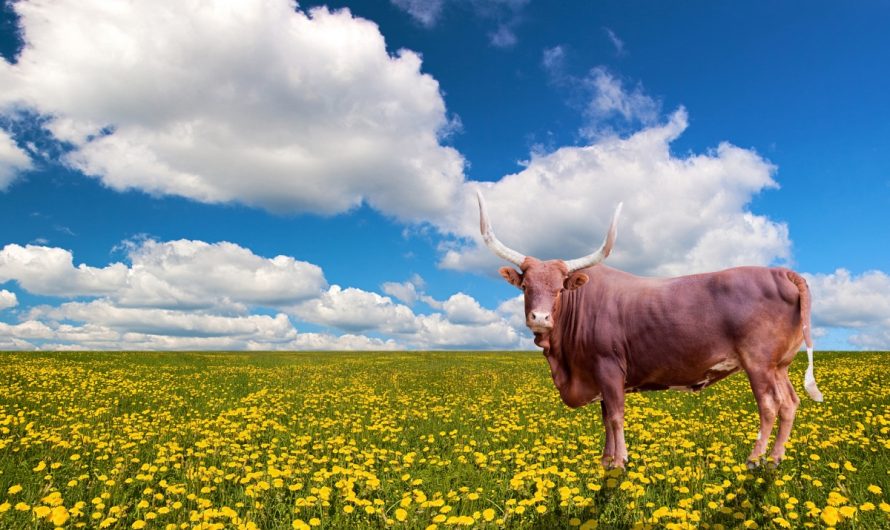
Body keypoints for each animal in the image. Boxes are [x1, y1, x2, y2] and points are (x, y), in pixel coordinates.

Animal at [476, 190, 822, 469]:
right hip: (779, 365)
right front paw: (605, 460)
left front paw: (619, 463)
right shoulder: (598, 374)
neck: (566, 363)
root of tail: (779, 272)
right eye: (525, 287)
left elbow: (616, 416)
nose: (540, 317)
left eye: (560, 288)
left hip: (758, 363)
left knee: (769, 405)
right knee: (789, 403)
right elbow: (605, 417)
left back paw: (754, 459)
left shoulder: (608, 367)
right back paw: (775, 458)